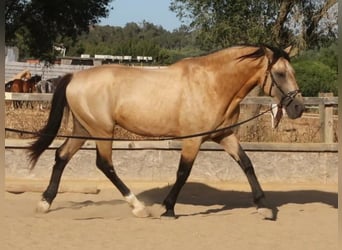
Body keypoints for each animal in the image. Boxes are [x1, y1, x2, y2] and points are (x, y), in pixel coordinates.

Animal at [27, 44, 304, 219]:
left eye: (293, 72)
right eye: (280, 73)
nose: (298, 107)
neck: (212, 84)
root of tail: (74, 77)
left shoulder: (224, 136)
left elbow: (247, 164)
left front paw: (264, 207)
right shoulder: (193, 141)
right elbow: (183, 173)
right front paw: (168, 208)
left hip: (84, 128)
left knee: (61, 156)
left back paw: (44, 203)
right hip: (102, 131)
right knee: (105, 164)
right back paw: (139, 208)